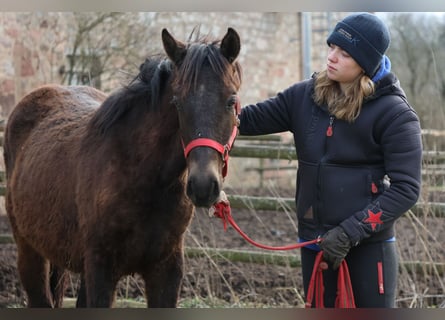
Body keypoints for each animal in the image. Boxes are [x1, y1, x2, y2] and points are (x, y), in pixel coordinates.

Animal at [2, 26, 243, 306]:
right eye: (177, 102)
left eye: (231, 101)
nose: (203, 185)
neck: (143, 177)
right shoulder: (101, 269)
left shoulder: (166, 271)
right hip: (30, 252)